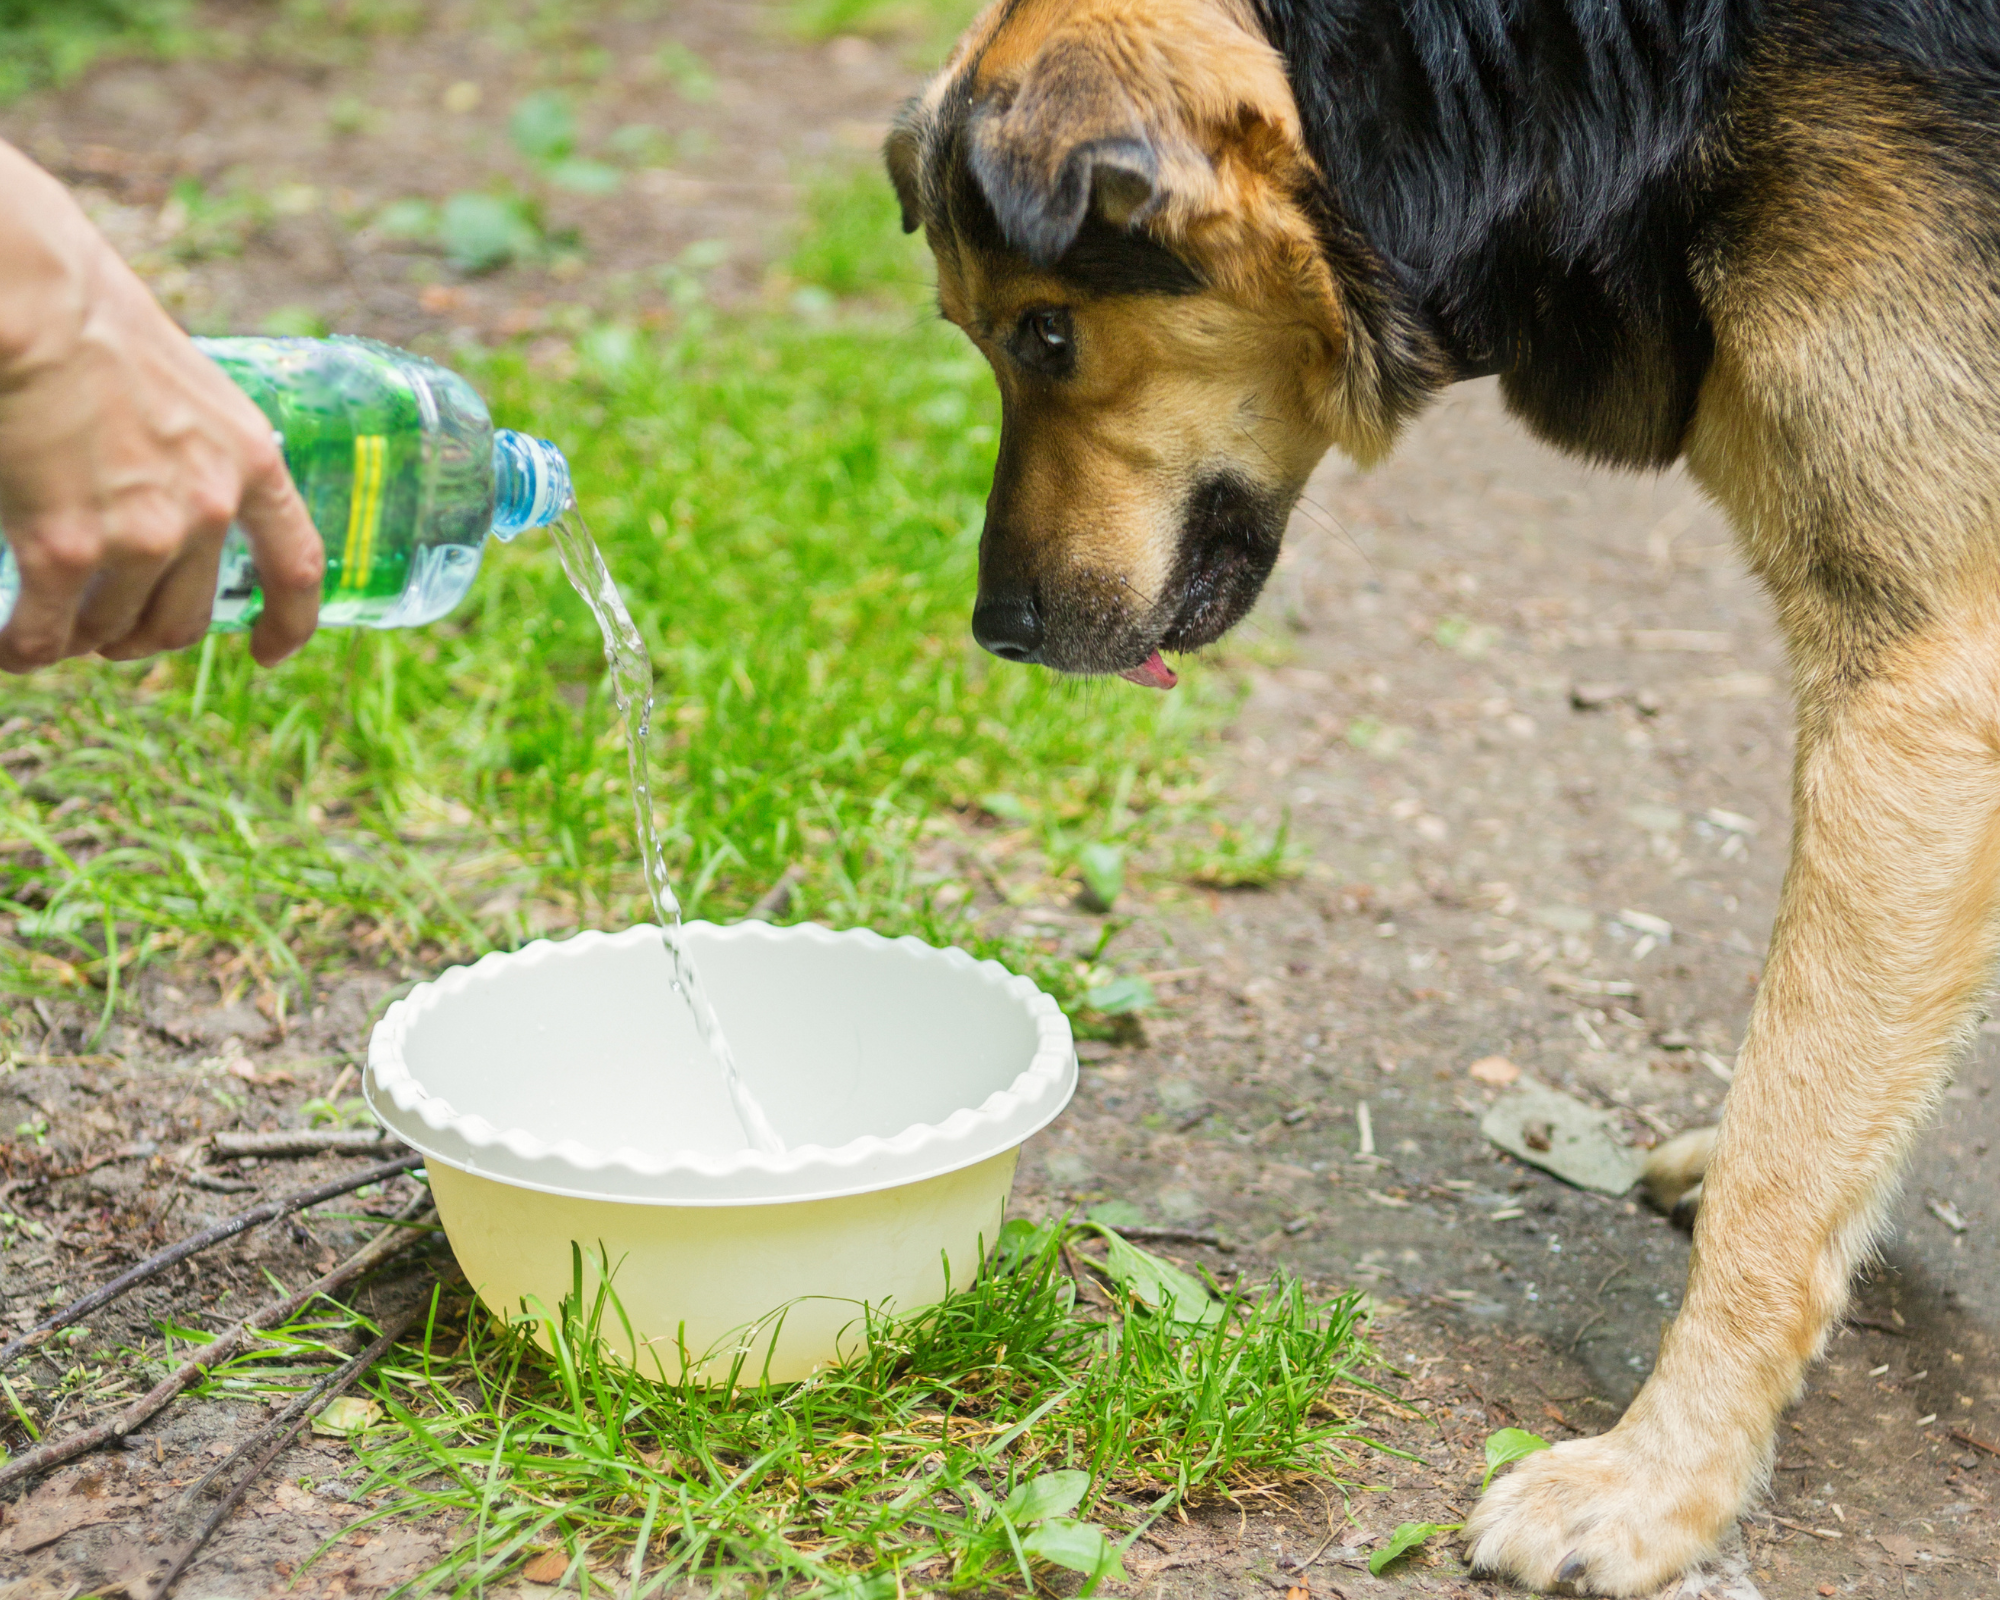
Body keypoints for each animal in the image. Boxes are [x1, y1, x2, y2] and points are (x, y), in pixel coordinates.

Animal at [888, 0, 2000, 1584]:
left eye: (1047, 331)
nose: (1000, 631)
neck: (1601, 74)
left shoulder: (1917, 679)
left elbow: (1786, 1166)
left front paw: (1660, 1482)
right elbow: (1826, 1089)